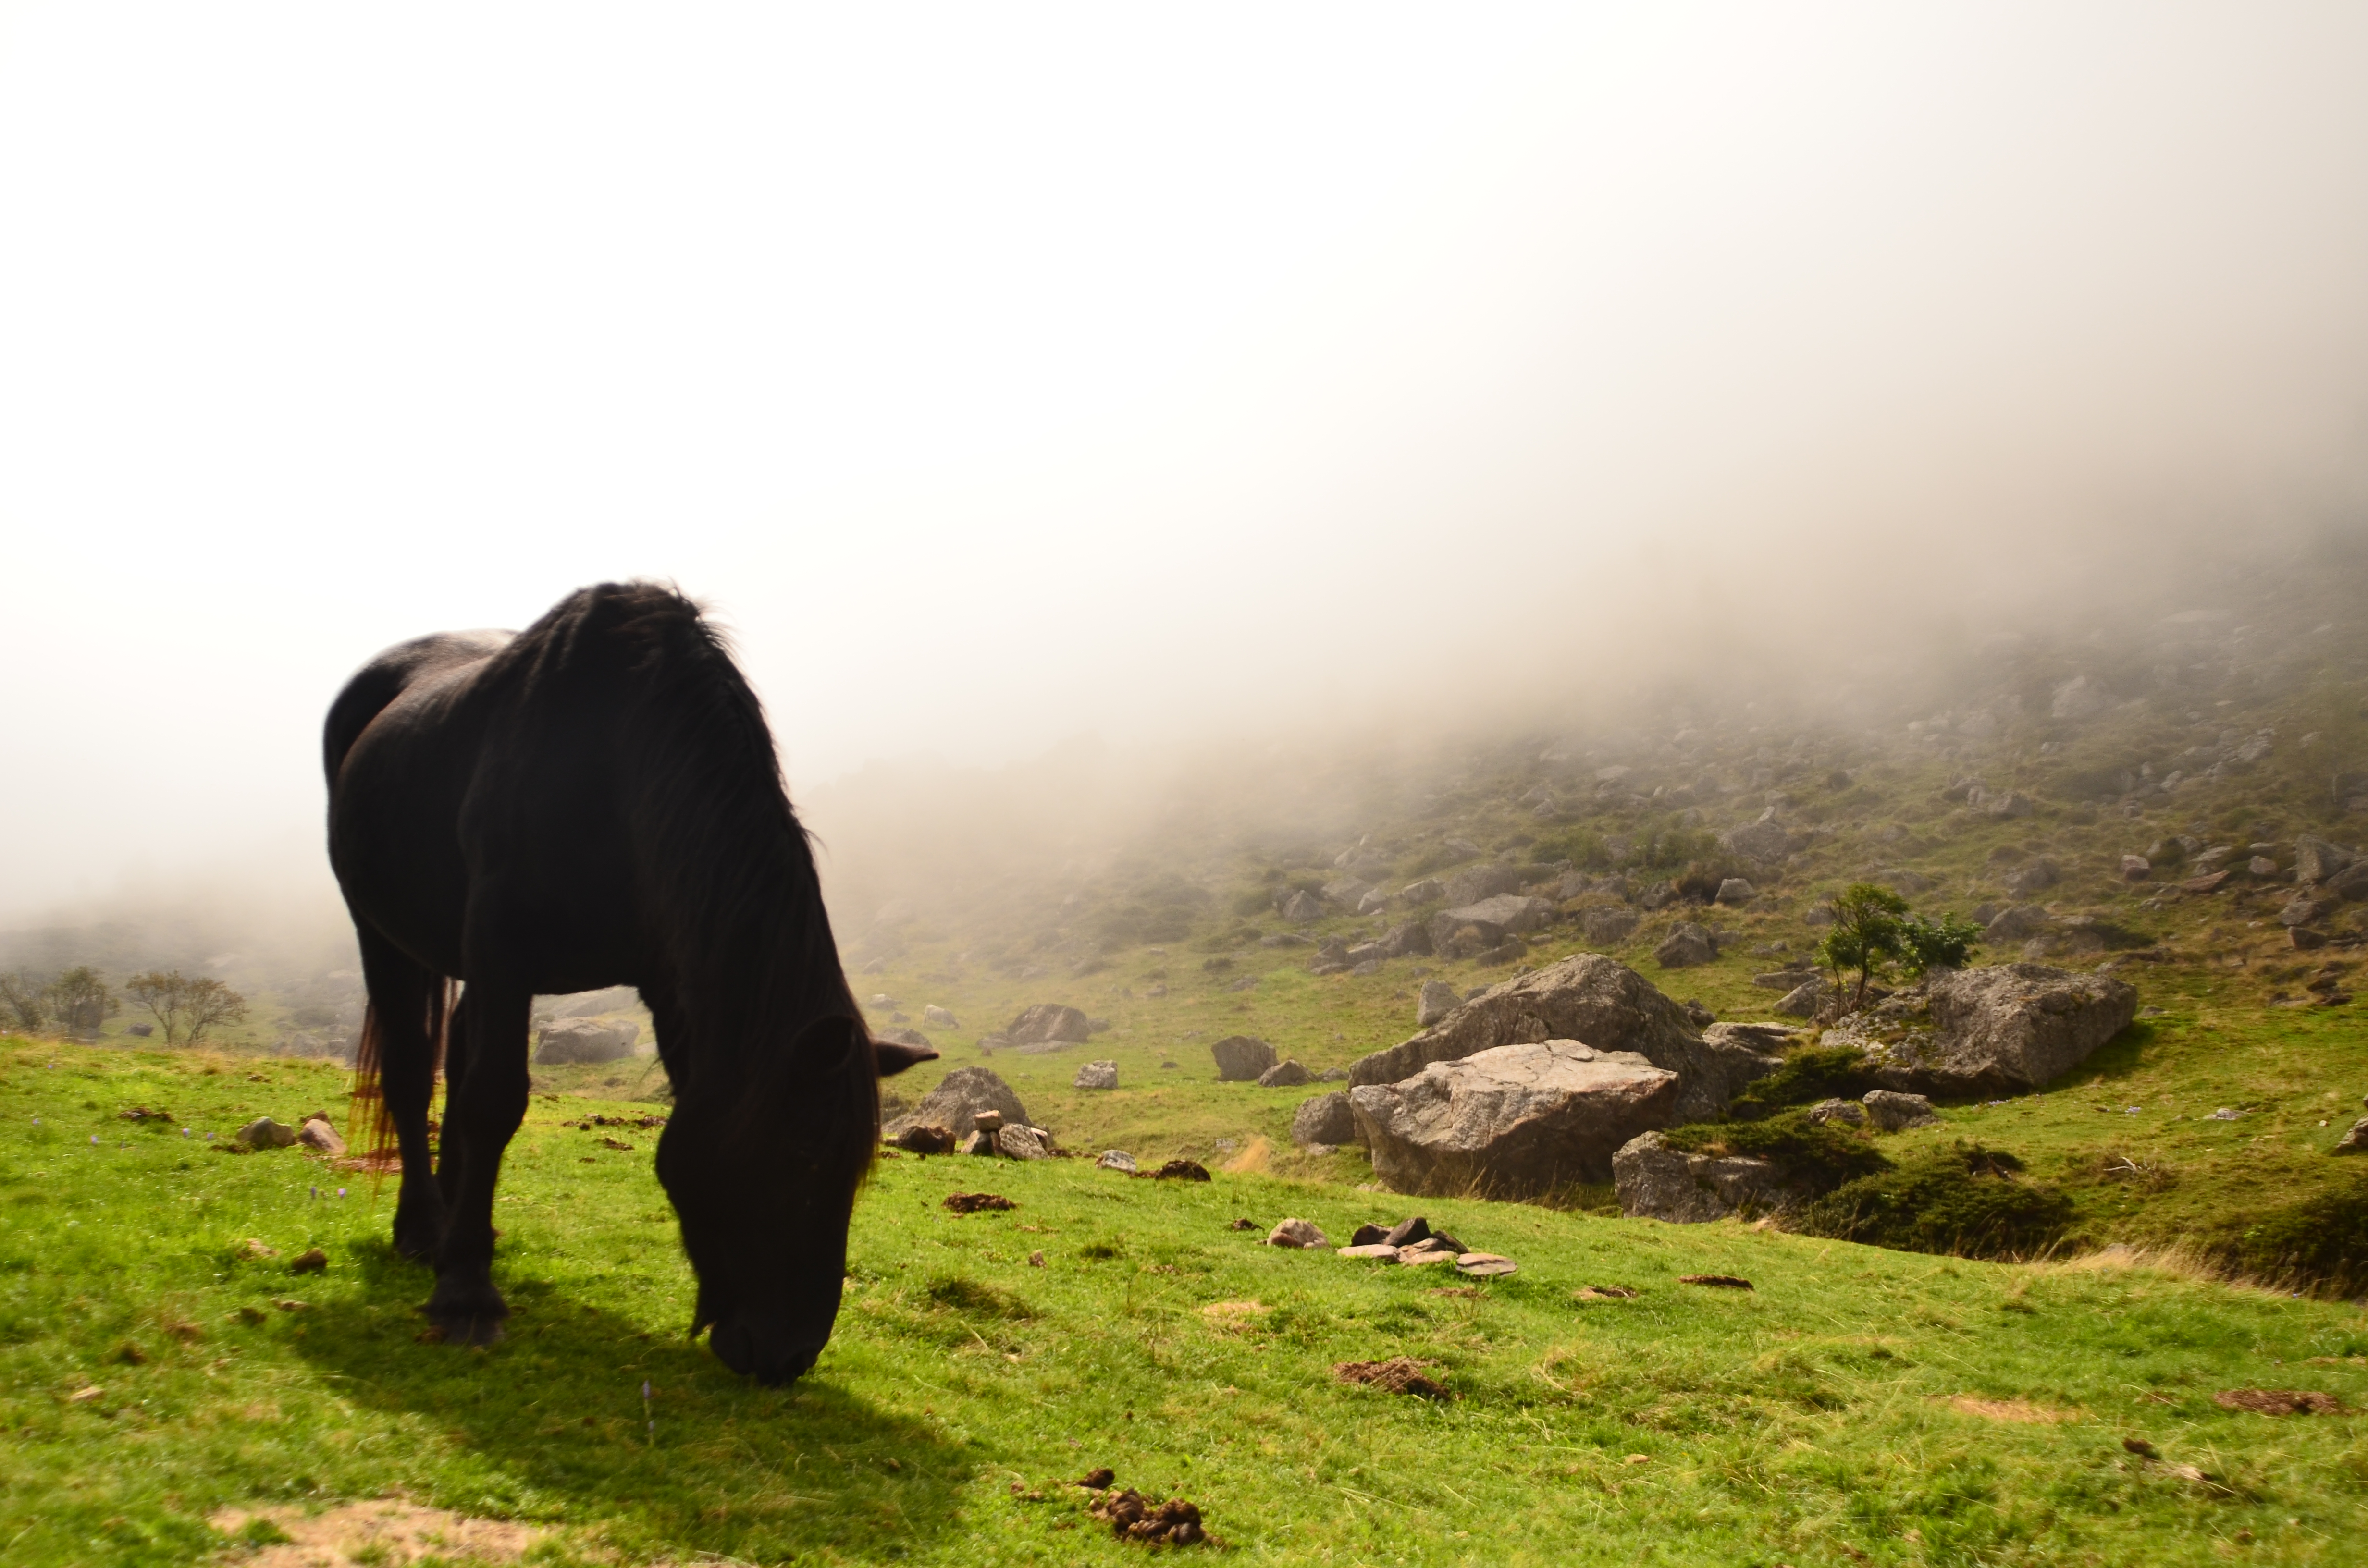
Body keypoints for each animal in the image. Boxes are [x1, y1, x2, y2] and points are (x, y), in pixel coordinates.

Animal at [324, 581, 933, 1382]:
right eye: (802, 1156)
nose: (789, 1356)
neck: (613, 771)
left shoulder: (664, 977)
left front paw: (470, 1255)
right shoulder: (500, 951)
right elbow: (493, 1101)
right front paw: (465, 1295)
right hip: (381, 932)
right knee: (409, 1072)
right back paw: (426, 1230)